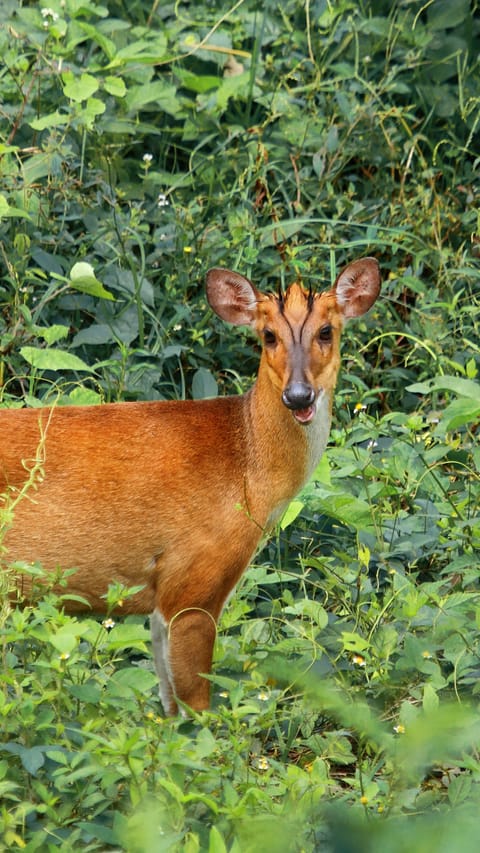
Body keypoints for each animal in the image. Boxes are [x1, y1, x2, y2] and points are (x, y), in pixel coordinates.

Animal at [0, 256, 380, 715]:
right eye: (268, 335)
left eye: (327, 331)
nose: (299, 396)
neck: (246, 468)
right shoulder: (194, 582)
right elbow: (197, 710)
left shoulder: (160, 601)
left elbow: (167, 709)